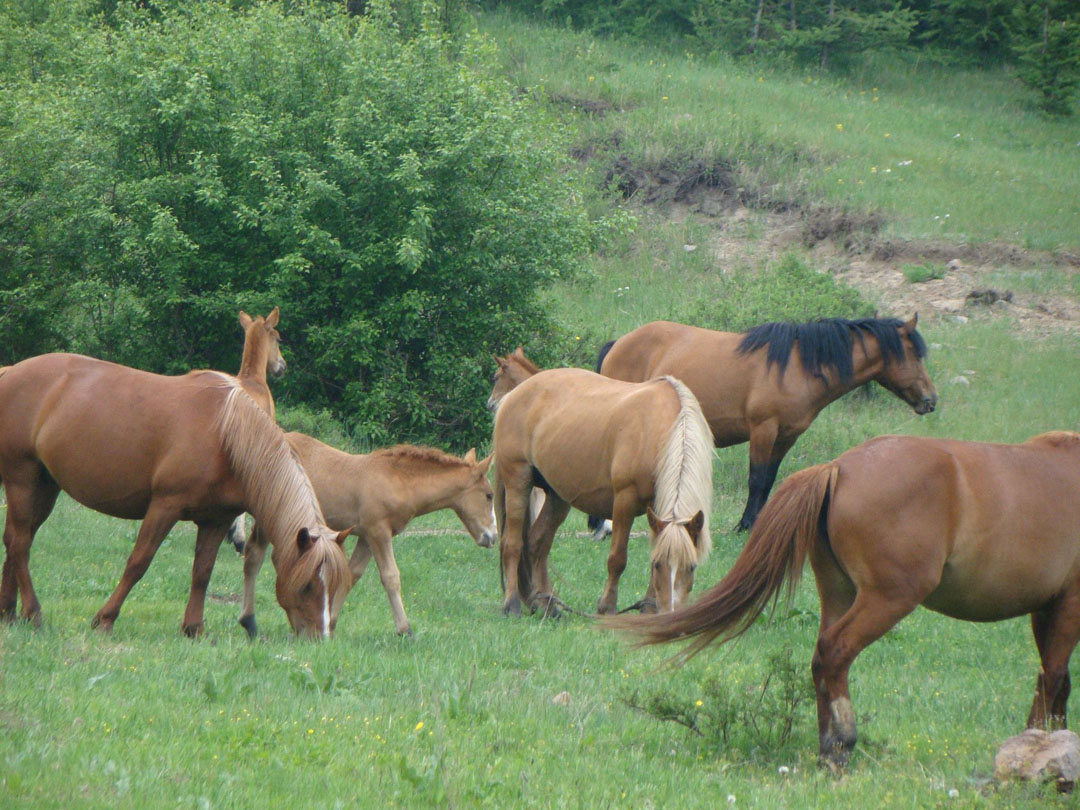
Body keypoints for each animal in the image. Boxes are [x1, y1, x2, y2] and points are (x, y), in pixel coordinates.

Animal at [0, 354, 349, 639]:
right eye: (307, 585)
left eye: (335, 584)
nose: (319, 639)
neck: (226, 435)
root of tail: (10, 372)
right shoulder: (164, 507)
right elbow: (139, 562)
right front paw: (105, 619)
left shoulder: (215, 521)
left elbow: (202, 573)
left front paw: (193, 628)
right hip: (21, 479)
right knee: (20, 543)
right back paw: (33, 613)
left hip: (45, 486)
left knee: (15, 539)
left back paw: (8, 613)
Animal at [238, 438, 494, 639]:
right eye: (490, 495)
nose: (491, 536)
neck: (400, 482)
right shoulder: (378, 531)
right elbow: (391, 577)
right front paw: (405, 630)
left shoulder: (367, 537)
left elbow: (351, 575)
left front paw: (331, 622)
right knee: (254, 555)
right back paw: (249, 623)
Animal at [494, 371, 712, 617]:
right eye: (659, 565)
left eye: (692, 566)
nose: (670, 613)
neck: (661, 430)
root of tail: (512, 395)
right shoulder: (625, 501)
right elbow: (617, 559)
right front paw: (607, 607)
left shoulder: (656, 510)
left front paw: (648, 608)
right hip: (518, 483)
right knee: (512, 544)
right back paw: (512, 604)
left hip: (558, 497)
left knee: (538, 543)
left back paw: (546, 605)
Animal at [600, 317, 937, 533]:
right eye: (912, 353)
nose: (930, 400)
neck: (797, 367)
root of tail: (618, 344)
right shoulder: (763, 429)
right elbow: (757, 479)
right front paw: (744, 526)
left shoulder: (786, 437)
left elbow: (769, 480)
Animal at [609, 432, 1080, 768]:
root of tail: (838, 467)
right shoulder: (1068, 606)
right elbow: (1054, 678)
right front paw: (1038, 749)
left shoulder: (1046, 607)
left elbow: (1054, 680)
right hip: (887, 599)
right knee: (835, 651)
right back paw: (843, 742)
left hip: (839, 594)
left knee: (822, 658)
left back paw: (826, 746)